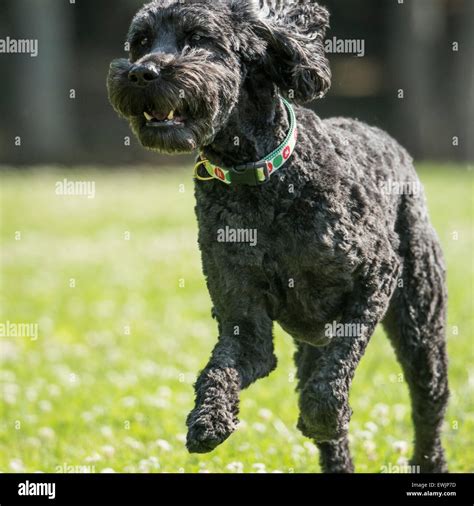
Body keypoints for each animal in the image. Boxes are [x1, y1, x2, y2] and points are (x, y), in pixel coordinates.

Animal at [107, 0, 448, 474]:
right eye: (140, 42)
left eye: (198, 38)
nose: (142, 73)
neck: (261, 182)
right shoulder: (243, 321)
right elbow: (223, 368)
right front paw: (208, 420)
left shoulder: (376, 277)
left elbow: (337, 367)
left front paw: (324, 415)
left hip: (420, 319)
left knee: (427, 403)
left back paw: (426, 460)